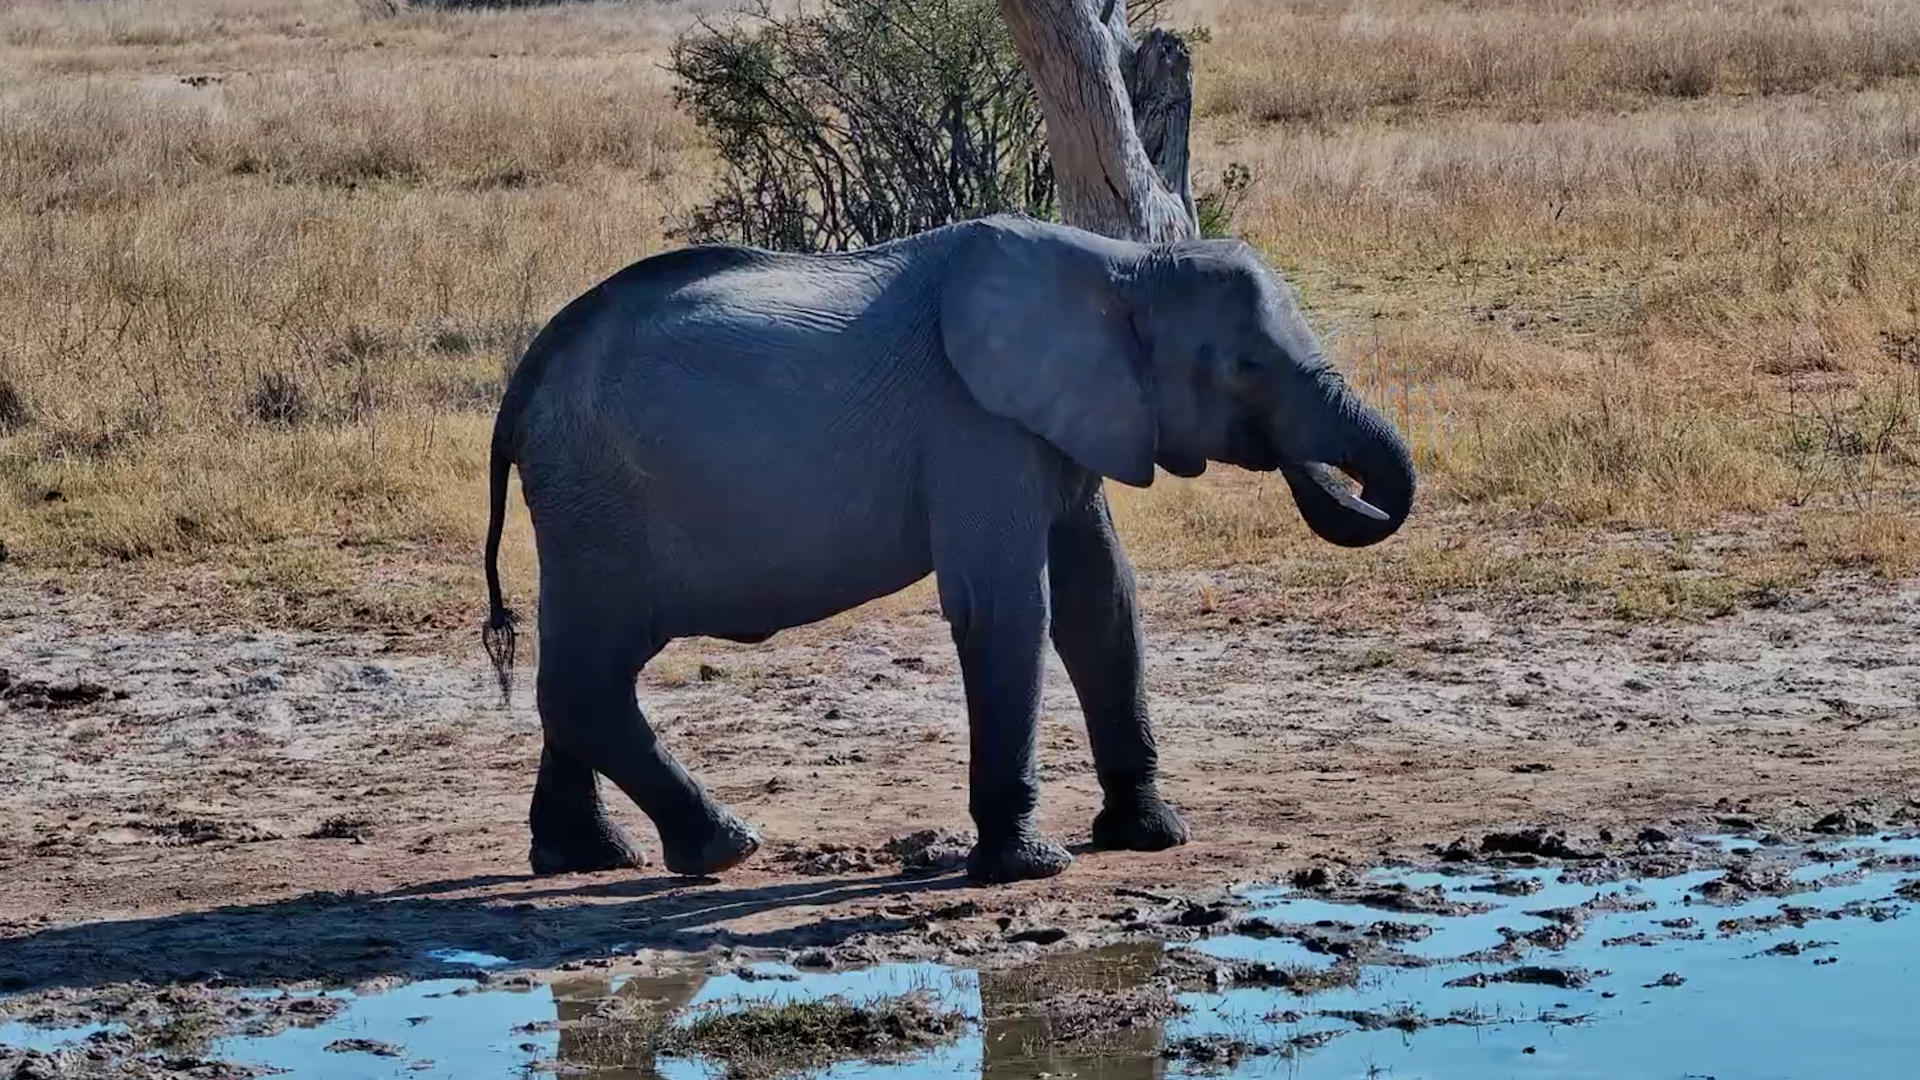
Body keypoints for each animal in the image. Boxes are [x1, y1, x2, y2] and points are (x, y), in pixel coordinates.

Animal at [479, 213, 1415, 885]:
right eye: (1247, 367)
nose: (1343, 483)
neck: (1126, 263)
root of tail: (525, 380)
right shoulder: (975, 422)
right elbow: (1008, 606)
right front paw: (1028, 868)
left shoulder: (1061, 419)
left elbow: (1101, 601)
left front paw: (1151, 837)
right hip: (598, 497)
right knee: (590, 674)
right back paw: (721, 847)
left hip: (585, 501)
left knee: (580, 671)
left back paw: (587, 857)